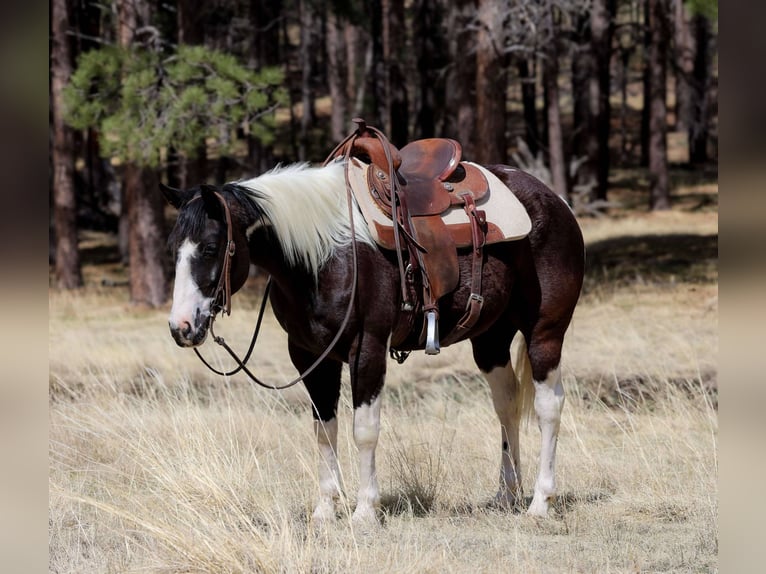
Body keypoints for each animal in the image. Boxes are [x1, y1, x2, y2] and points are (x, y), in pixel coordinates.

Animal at [160, 152, 585, 523]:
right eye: (173, 250)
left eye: (211, 248)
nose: (181, 327)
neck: (324, 257)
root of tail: (556, 201)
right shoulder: (309, 356)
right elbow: (324, 431)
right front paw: (325, 510)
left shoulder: (367, 350)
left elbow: (363, 430)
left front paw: (365, 510)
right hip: (491, 340)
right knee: (506, 403)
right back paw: (507, 494)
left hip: (545, 333)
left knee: (549, 406)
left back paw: (541, 501)